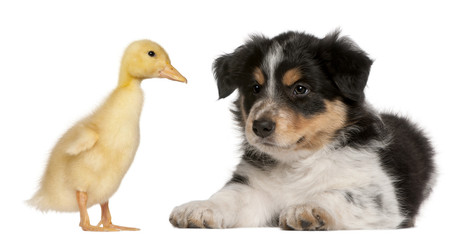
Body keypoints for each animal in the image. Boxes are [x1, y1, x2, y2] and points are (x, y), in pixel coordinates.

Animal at [169, 31, 436, 230]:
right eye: (255, 87)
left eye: (300, 89)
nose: (260, 127)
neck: (297, 162)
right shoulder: (253, 188)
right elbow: (230, 196)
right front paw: (200, 207)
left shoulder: (380, 198)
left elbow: (341, 195)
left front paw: (307, 208)